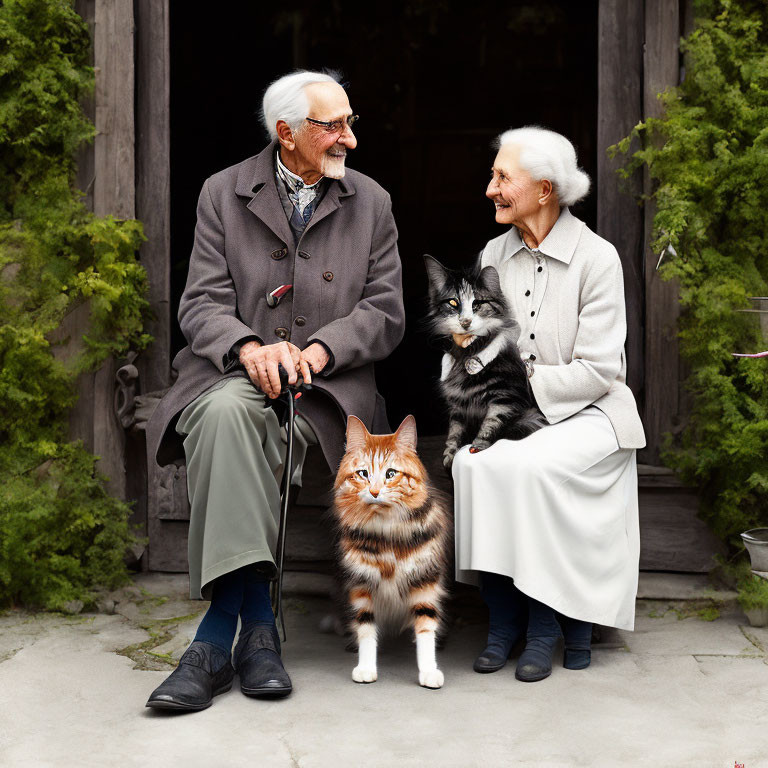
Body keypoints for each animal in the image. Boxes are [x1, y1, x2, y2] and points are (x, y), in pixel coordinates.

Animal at [330, 416, 450, 688]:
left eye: (391, 474)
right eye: (363, 474)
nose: (374, 492)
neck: (387, 536)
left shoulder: (425, 581)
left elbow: (426, 629)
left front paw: (429, 671)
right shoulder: (362, 584)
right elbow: (365, 628)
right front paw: (365, 668)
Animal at [424, 255, 544, 468]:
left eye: (477, 304)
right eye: (453, 302)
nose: (465, 322)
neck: (467, 350)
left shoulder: (506, 397)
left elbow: (491, 423)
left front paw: (476, 447)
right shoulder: (459, 404)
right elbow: (455, 431)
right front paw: (450, 456)